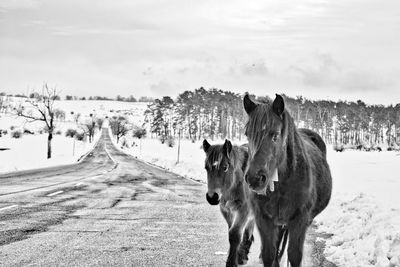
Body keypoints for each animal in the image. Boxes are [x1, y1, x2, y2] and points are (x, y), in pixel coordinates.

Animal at [244, 94, 332, 267]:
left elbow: (294, 255)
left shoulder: (300, 220)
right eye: (247, 134)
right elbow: (269, 254)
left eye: (276, 135)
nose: (255, 179)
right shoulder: (264, 219)